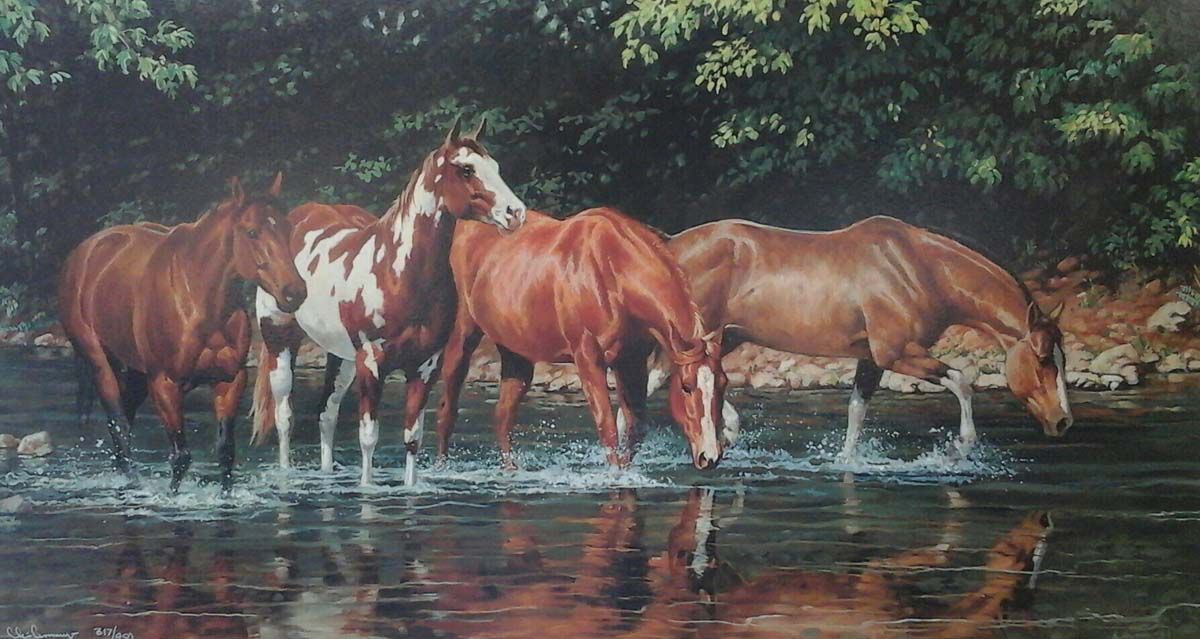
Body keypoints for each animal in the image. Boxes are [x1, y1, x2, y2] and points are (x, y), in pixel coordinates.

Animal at [59, 175, 305, 491]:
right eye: (252, 232)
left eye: (287, 229)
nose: (294, 292)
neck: (199, 299)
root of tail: (85, 252)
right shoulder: (165, 385)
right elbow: (180, 457)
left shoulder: (230, 381)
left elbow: (226, 452)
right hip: (102, 366)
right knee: (120, 430)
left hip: (136, 375)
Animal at [251, 118, 526, 485]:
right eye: (466, 169)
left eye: (494, 166)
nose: (516, 213)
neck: (398, 272)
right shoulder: (372, 363)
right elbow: (369, 437)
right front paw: (367, 489)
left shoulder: (425, 367)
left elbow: (412, 438)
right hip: (280, 339)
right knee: (285, 416)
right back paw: (285, 473)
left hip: (342, 358)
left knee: (327, 414)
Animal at [426, 207, 726, 470]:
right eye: (686, 387)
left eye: (722, 384)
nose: (709, 456)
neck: (612, 271)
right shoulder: (589, 361)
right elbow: (608, 430)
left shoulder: (630, 362)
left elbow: (635, 429)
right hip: (463, 336)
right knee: (447, 411)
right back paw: (441, 468)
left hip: (516, 354)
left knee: (502, 418)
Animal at [650, 216, 1073, 459]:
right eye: (1043, 359)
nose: (1063, 421)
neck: (919, 268)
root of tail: (669, 244)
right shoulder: (897, 354)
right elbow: (962, 382)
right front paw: (964, 444)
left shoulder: (872, 359)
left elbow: (856, 411)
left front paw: (845, 463)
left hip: (724, 337)